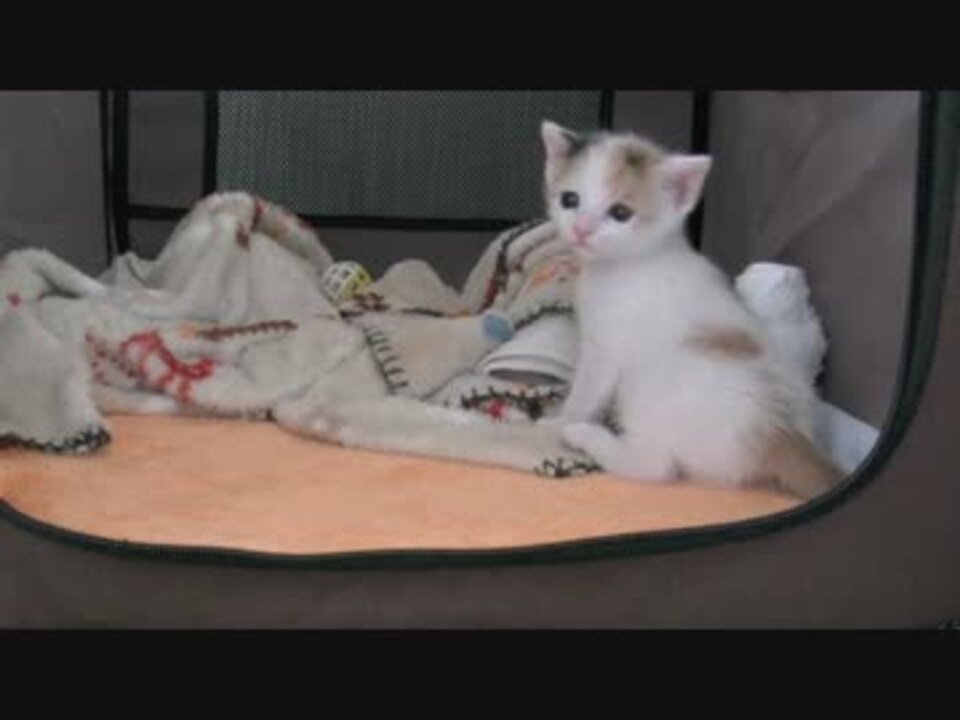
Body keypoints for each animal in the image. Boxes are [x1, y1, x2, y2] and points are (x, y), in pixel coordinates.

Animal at [542, 120, 841, 499]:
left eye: (621, 213)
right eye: (570, 200)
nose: (581, 230)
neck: (630, 264)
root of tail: (780, 431)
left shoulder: (606, 349)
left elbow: (587, 390)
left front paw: (559, 421)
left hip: (649, 387)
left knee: (656, 466)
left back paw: (585, 436)